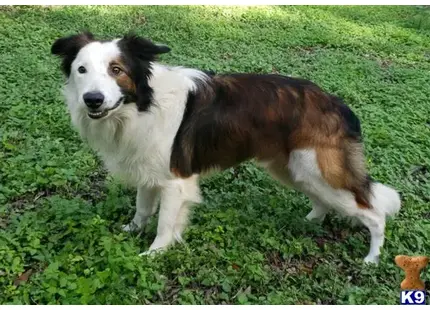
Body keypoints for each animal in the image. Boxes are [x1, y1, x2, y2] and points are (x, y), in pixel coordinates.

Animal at [52, 32, 402, 264]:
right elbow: (142, 207)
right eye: (81, 70)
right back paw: (310, 221)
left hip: (321, 171)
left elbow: (164, 223)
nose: (93, 100)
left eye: (116, 70)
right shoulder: (149, 170)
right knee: (323, 201)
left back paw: (372, 258)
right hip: (296, 169)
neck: (141, 104)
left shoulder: (175, 182)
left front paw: (154, 254)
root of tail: (337, 104)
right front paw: (132, 230)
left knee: (373, 212)